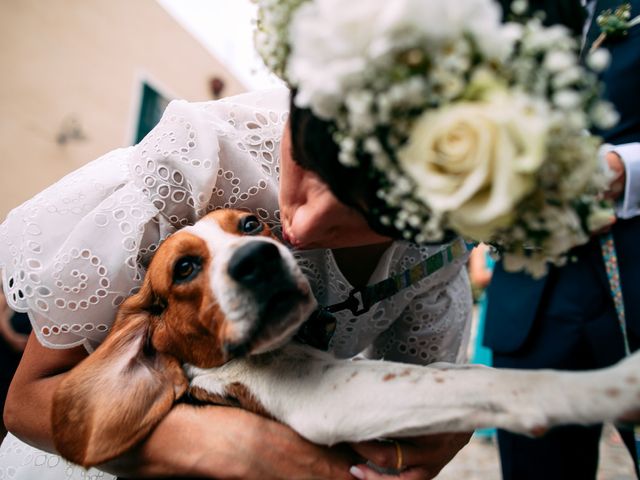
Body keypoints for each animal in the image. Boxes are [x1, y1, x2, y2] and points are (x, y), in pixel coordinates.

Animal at [52, 210, 640, 468]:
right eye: (185, 268)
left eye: (251, 225)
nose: (260, 259)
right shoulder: (335, 397)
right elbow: (502, 384)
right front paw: (612, 385)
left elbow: (456, 374)